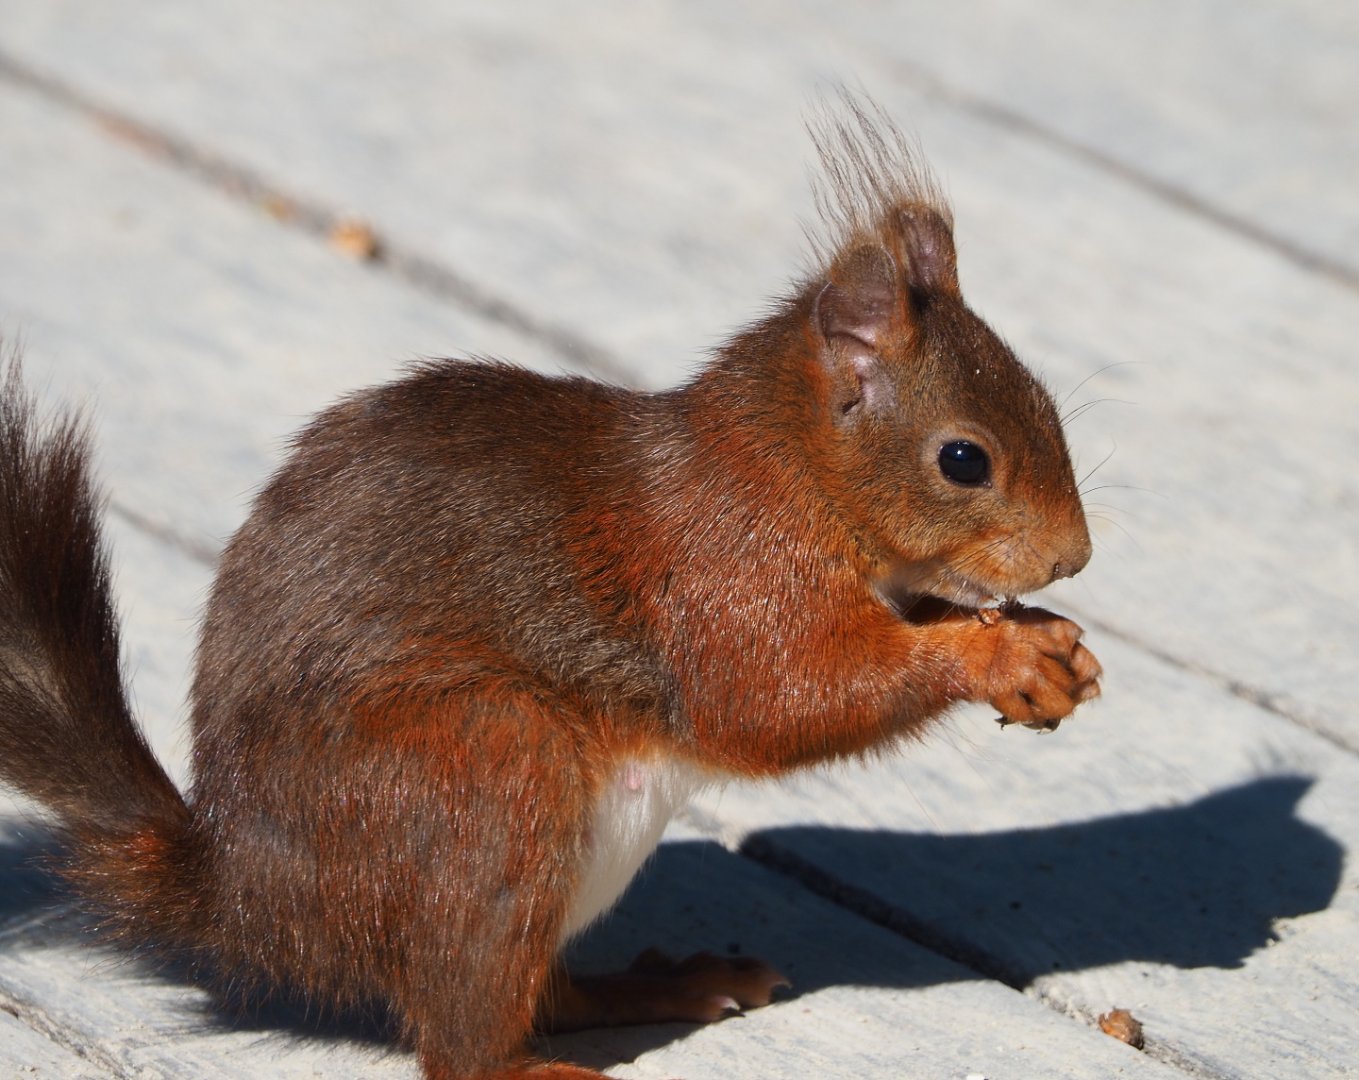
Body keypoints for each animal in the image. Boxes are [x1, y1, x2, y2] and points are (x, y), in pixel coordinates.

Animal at [0, 96, 1100, 1079]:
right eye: (964, 459)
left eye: (1049, 401)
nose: (1073, 558)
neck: (786, 467)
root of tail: (246, 906)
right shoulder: (724, 571)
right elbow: (777, 699)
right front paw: (996, 653)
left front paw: (1042, 638)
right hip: (484, 773)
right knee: (463, 1044)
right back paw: (544, 1067)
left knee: (545, 993)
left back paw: (665, 984)